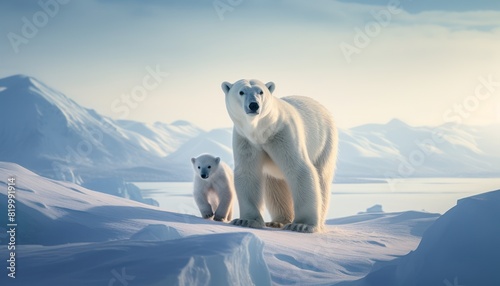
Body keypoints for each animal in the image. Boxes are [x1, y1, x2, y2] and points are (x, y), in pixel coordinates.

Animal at [222, 78, 336, 232]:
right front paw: (245, 220)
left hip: (325, 142)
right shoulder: (246, 140)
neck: (262, 131)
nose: (254, 105)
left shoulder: (282, 134)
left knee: (322, 179)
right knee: (274, 185)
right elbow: (248, 173)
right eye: (241, 92)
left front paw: (302, 225)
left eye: (261, 91)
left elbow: (299, 169)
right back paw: (278, 221)